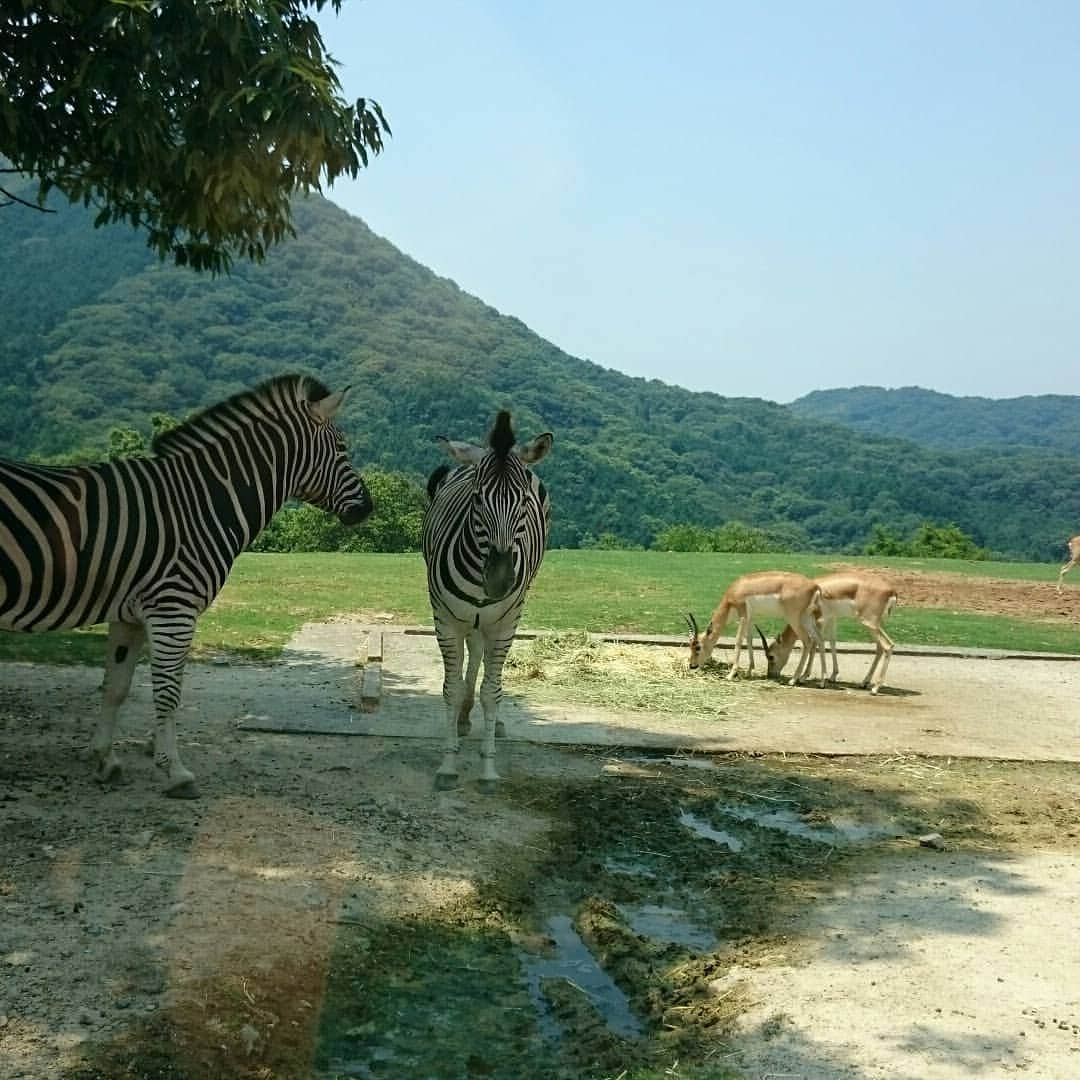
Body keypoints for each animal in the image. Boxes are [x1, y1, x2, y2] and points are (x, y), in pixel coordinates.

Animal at [1, 375, 371, 799]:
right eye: (342, 448)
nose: (369, 507)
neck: (201, 503)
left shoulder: (129, 614)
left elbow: (115, 686)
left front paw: (104, 759)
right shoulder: (172, 609)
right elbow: (167, 692)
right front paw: (175, 772)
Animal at [421, 408, 552, 790]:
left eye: (523, 500)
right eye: (477, 498)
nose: (499, 581)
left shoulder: (506, 624)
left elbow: (492, 692)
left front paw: (489, 768)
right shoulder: (445, 618)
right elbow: (450, 688)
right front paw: (448, 764)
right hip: (466, 618)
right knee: (472, 655)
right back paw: (464, 717)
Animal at [682, 574, 825, 682]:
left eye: (698, 647)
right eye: (690, 646)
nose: (692, 665)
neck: (736, 589)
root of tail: (815, 586)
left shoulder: (743, 615)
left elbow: (738, 641)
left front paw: (731, 674)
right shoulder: (750, 618)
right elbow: (749, 640)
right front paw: (749, 671)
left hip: (794, 618)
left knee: (807, 641)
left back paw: (794, 680)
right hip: (807, 618)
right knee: (818, 640)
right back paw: (816, 681)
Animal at [764, 570, 898, 695]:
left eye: (771, 656)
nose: (770, 675)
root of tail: (891, 591)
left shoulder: (819, 620)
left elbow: (815, 643)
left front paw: (804, 677)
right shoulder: (831, 618)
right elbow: (832, 641)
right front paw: (833, 675)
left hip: (869, 623)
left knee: (888, 645)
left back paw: (875, 688)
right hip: (877, 624)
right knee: (880, 648)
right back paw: (864, 683)